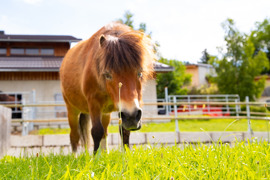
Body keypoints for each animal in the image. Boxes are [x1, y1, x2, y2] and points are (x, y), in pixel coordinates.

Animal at [60, 21, 155, 153]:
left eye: (139, 73)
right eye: (108, 75)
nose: (131, 116)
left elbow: (124, 131)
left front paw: (126, 155)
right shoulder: (93, 103)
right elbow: (96, 131)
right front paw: (95, 157)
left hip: (105, 113)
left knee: (104, 132)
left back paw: (105, 153)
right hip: (72, 110)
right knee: (74, 135)